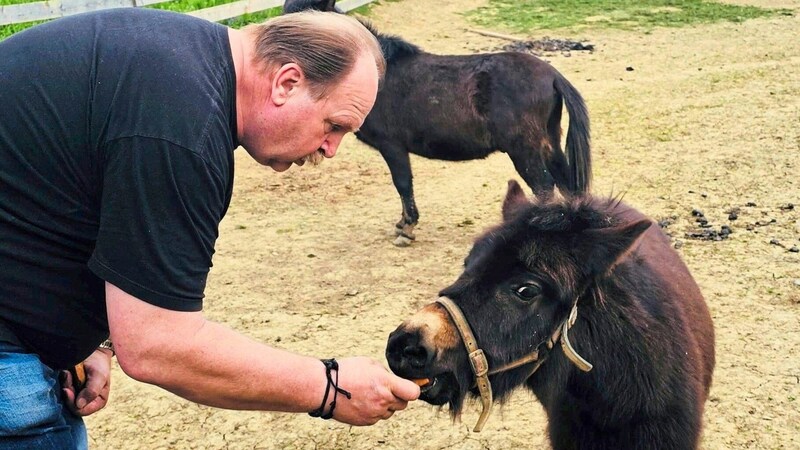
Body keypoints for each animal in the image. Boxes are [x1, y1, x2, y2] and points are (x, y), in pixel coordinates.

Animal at [282, 0, 588, 246]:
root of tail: (551, 74)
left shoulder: (392, 147)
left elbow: (403, 183)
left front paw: (407, 229)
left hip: (524, 151)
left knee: (544, 188)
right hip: (549, 143)